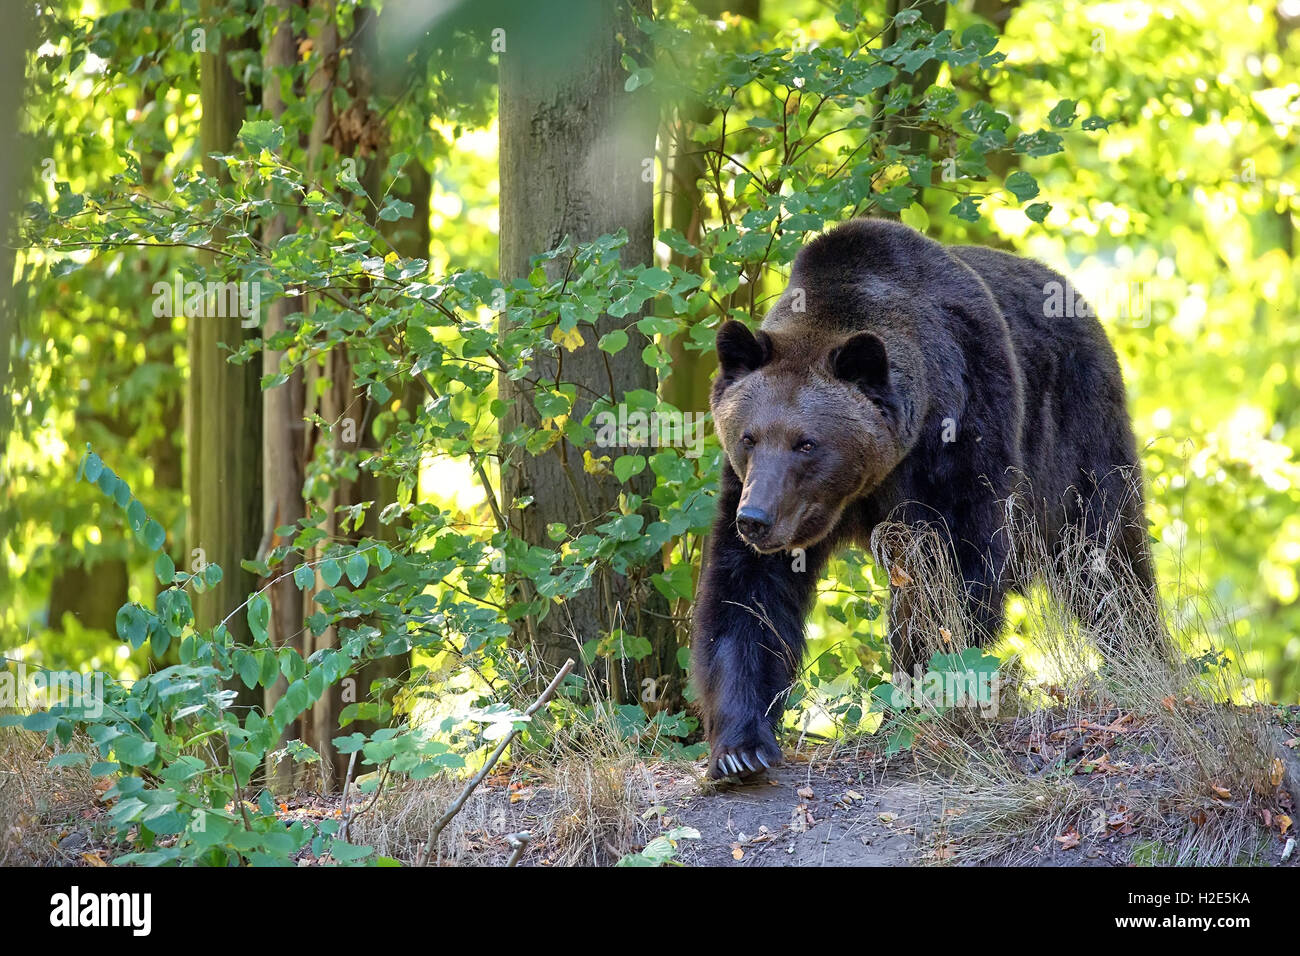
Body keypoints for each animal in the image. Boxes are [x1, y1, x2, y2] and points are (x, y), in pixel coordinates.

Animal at [696, 221, 1154, 780]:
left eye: (807, 443)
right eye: (749, 437)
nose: (757, 520)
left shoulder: (961, 435)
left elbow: (951, 574)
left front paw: (923, 694)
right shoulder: (752, 494)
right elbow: (747, 596)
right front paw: (741, 748)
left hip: (1077, 429)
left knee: (1106, 556)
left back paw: (1141, 656)